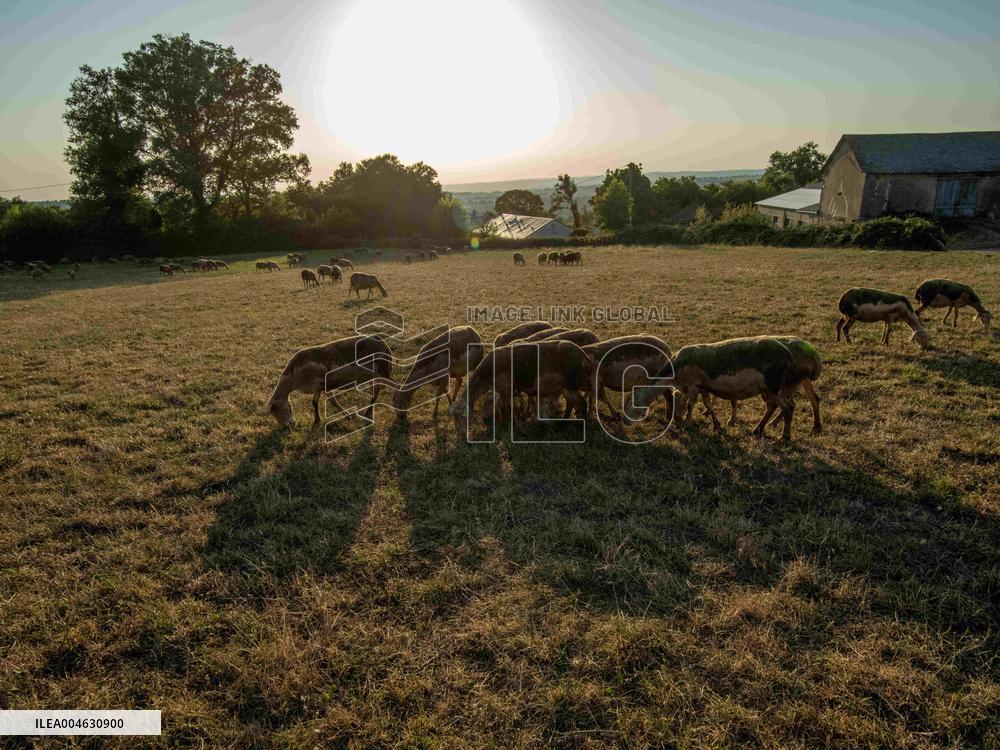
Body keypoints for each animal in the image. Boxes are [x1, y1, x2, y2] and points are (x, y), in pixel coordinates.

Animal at [267, 335, 397, 428]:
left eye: (283, 410)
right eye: (274, 415)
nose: (289, 426)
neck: (293, 377)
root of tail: (383, 343)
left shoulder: (317, 384)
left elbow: (315, 403)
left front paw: (317, 421)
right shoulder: (323, 387)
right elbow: (332, 402)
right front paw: (347, 416)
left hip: (383, 372)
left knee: (395, 386)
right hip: (375, 375)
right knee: (377, 390)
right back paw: (368, 412)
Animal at [448, 340, 594, 441]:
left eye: (461, 418)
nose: (461, 439)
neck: (484, 379)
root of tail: (585, 358)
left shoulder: (506, 387)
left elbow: (508, 407)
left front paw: (513, 426)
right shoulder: (505, 389)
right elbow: (504, 406)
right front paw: (504, 421)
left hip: (571, 384)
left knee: (581, 403)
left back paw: (578, 427)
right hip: (565, 386)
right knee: (573, 402)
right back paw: (562, 425)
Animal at [631, 336, 797, 440]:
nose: (676, 421)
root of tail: (788, 355)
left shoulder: (693, 386)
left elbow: (691, 405)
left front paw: (686, 425)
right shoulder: (703, 386)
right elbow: (708, 405)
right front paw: (717, 426)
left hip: (773, 385)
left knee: (788, 407)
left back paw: (784, 436)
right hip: (770, 388)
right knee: (775, 406)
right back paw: (758, 429)